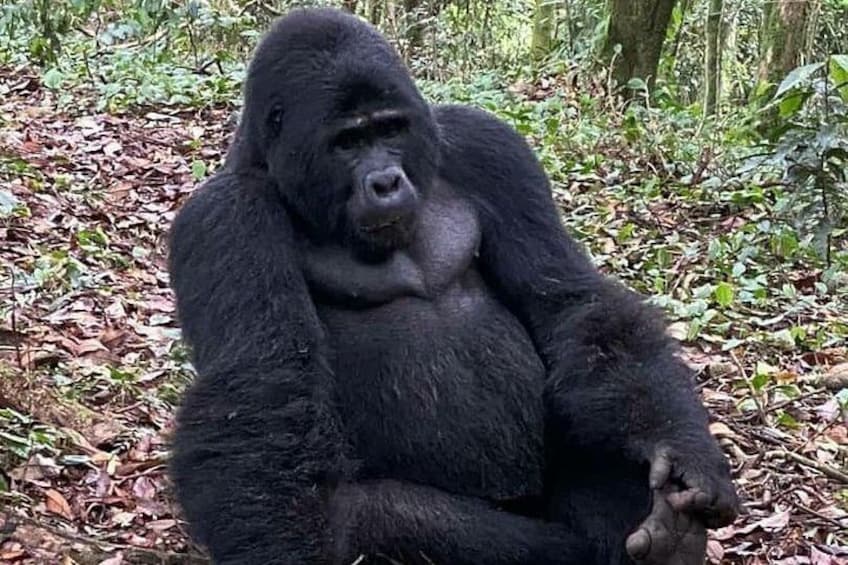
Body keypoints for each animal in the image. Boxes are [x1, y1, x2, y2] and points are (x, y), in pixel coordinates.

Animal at [169, 5, 740, 564]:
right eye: (348, 142)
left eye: (391, 130)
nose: (386, 182)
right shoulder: (225, 218)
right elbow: (266, 389)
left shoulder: (487, 145)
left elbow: (568, 300)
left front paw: (681, 446)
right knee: (376, 517)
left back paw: (668, 537)